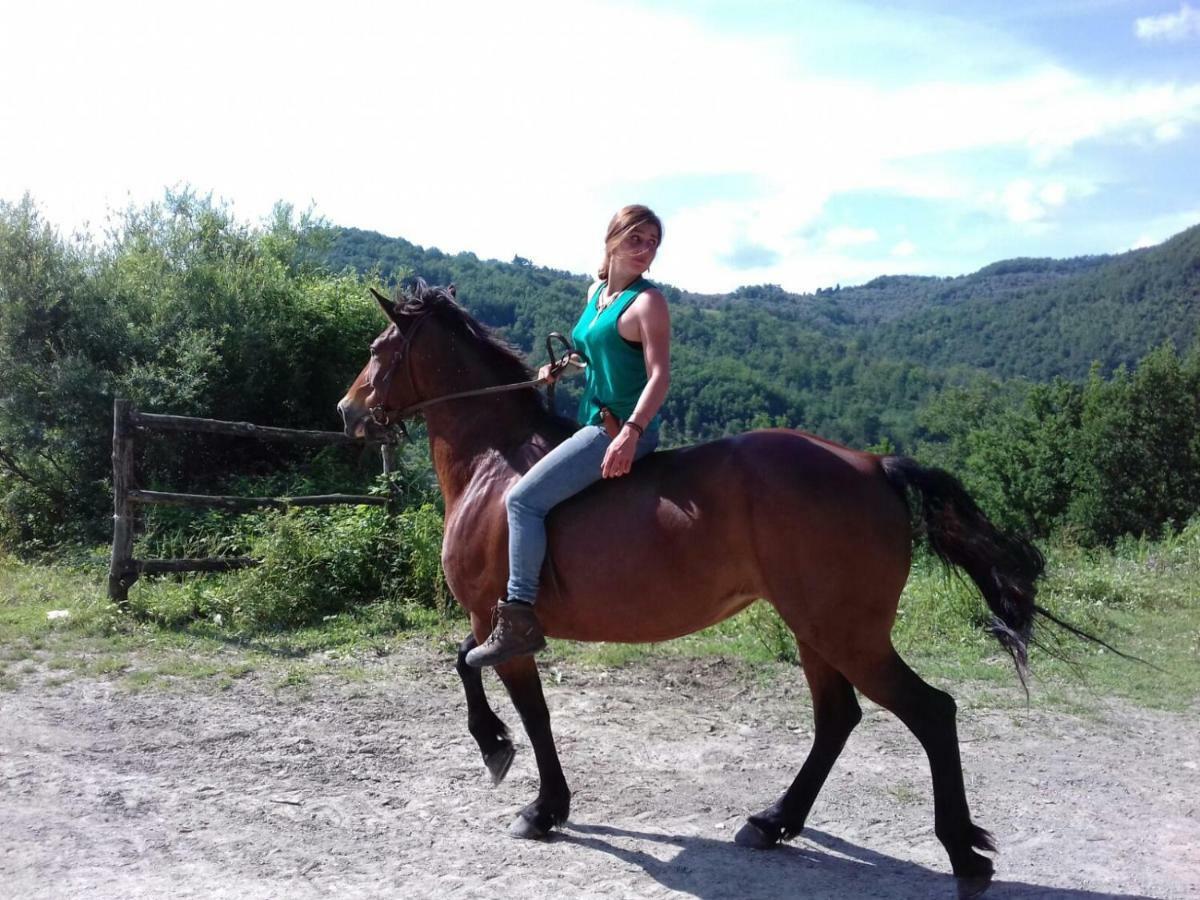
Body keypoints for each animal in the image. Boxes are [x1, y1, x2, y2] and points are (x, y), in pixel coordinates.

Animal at [336, 280, 1041, 897]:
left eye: (376, 349)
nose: (348, 412)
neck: (494, 462)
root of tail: (873, 465)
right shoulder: (497, 622)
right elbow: (471, 667)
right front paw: (518, 771)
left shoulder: (498, 622)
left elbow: (514, 701)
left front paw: (525, 786)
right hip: (815, 629)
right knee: (837, 717)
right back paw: (773, 822)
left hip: (848, 634)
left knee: (930, 712)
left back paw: (963, 855)